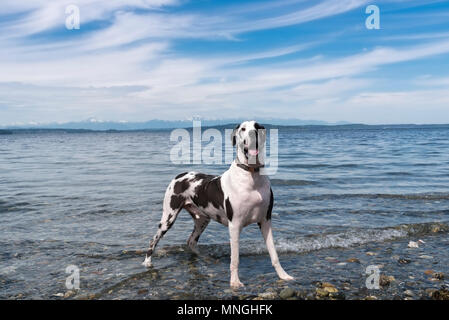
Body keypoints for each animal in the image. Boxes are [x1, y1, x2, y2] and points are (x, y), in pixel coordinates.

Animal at [142, 120, 292, 288]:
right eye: (243, 129)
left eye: (258, 127)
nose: (253, 134)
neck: (251, 175)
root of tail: (180, 175)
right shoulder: (235, 225)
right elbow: (235, 259)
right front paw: (235, 282)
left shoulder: (266, 221)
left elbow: (274, 254)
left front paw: (283, 275)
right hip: (168, 217)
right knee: (154, 240)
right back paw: (147, 262)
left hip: (202, 220)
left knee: (191, 241)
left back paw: (202, 257)